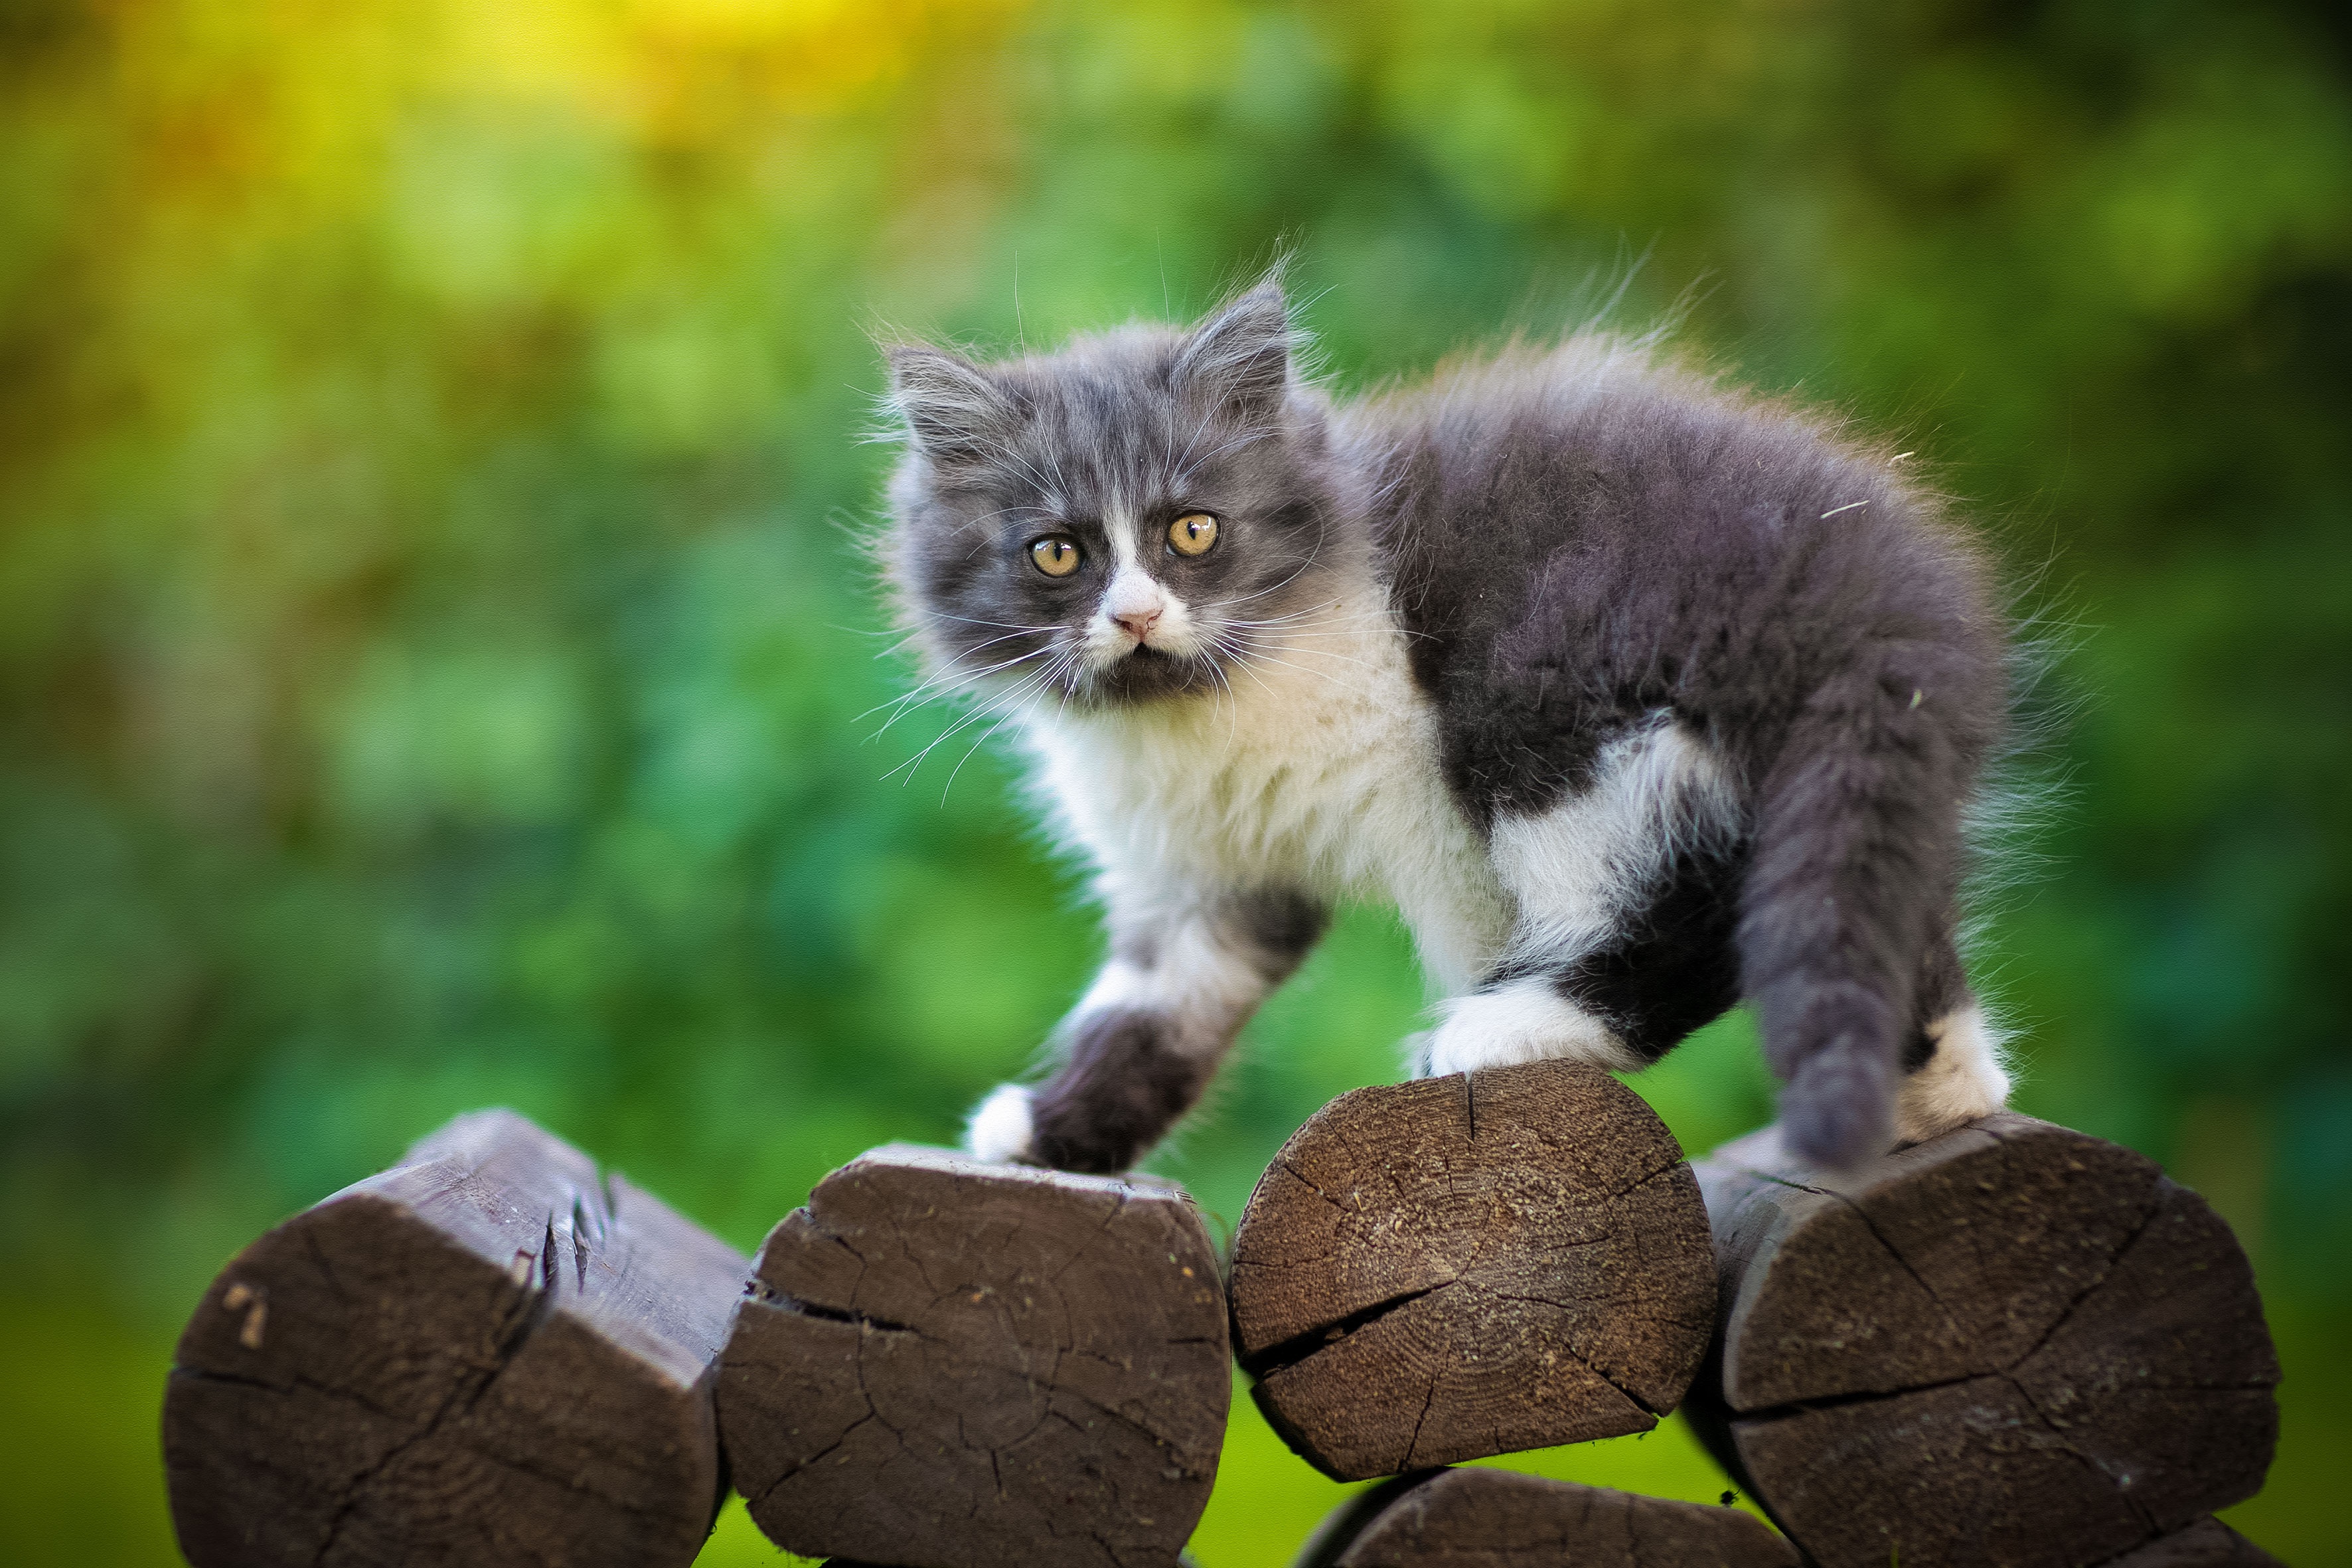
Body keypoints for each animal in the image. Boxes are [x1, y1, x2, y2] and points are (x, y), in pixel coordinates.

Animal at [874, 281, 2013, 1170]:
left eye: (1192, 530)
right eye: (1055, 553)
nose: (1136, 616)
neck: (1195, 711)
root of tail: (1865, 587)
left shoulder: (1430, 811)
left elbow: (1481, 931)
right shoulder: (1199, 876)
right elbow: (1154, 1007)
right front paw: (1049, 1133)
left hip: (1544, 705)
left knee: (1692, 903)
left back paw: (1508, 1026)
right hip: (1836, 770)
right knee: (1862, 904)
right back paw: (1939, 1091)